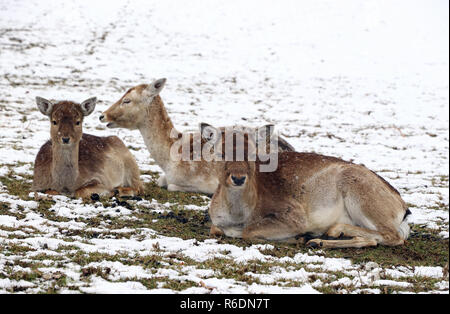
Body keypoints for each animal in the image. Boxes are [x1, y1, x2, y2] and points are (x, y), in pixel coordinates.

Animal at [207, 124, 412, 249]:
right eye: (221, 152)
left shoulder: (294, 216)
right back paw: (321, 240)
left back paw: (328, 233)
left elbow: (248, 232)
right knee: (375, 240)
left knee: (394, 236)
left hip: (361, 196)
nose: (238, 178)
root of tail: (403, 209)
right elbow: (216, 229)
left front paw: (299, 236)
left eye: (252, 153)